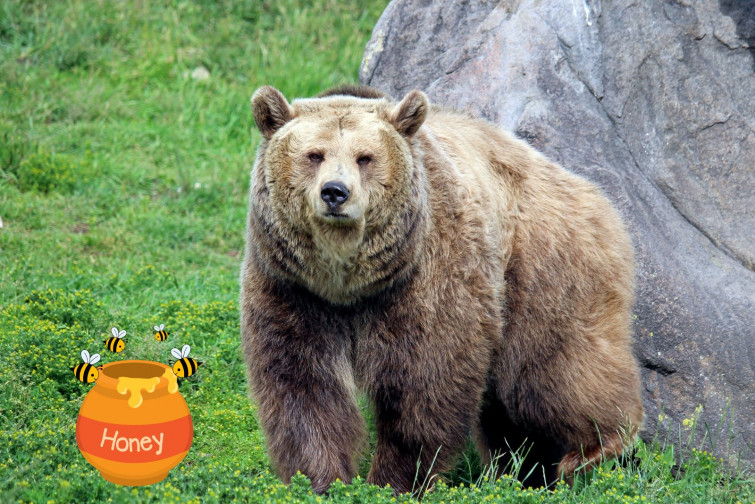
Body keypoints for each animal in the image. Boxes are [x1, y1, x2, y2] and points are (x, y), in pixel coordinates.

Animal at [241, 84, 644, 494]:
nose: (335, 192)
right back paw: (525, 471)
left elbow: (425, 380)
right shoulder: (293, 290)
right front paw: (321, 480)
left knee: (551, 373)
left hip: (542, 267)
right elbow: (303, 386)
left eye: (365, 157)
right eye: (314, 154)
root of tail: (592, 192)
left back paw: (594, 449)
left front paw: (395, 481)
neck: (348, 284)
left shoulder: (427, 277)